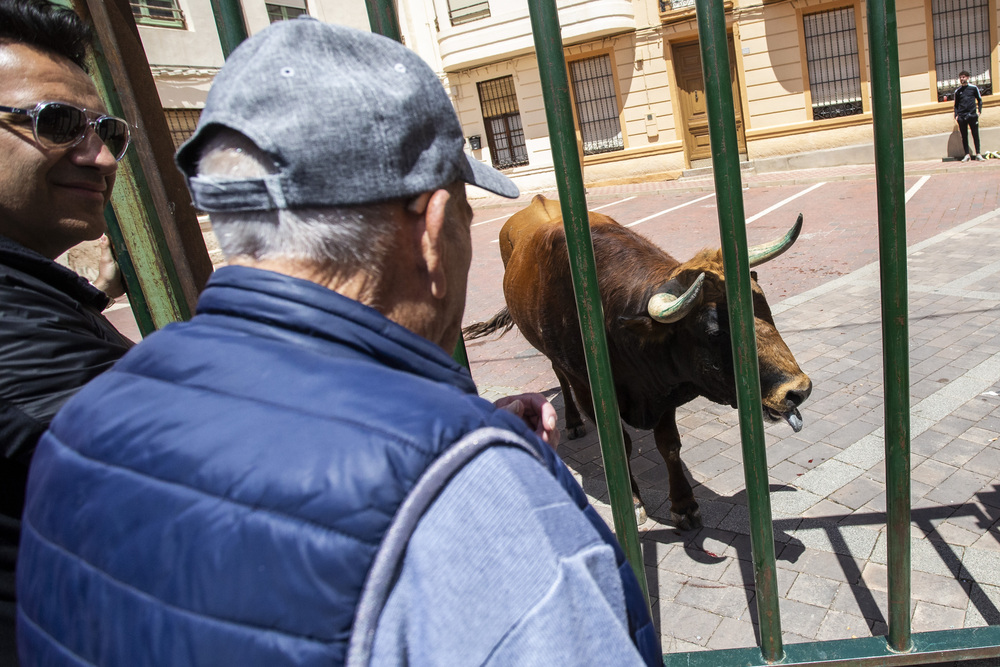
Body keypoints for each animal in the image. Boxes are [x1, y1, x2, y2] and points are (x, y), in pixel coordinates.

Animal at [464, 196, 808, 528]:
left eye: (764, 306)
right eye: (714, 331)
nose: (798, 390)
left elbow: (669, 445)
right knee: (559, 375)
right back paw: (573, 423)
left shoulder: (661, 388)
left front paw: (684, 505)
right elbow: (622, 446)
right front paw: (632, 501)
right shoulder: (590, 389)